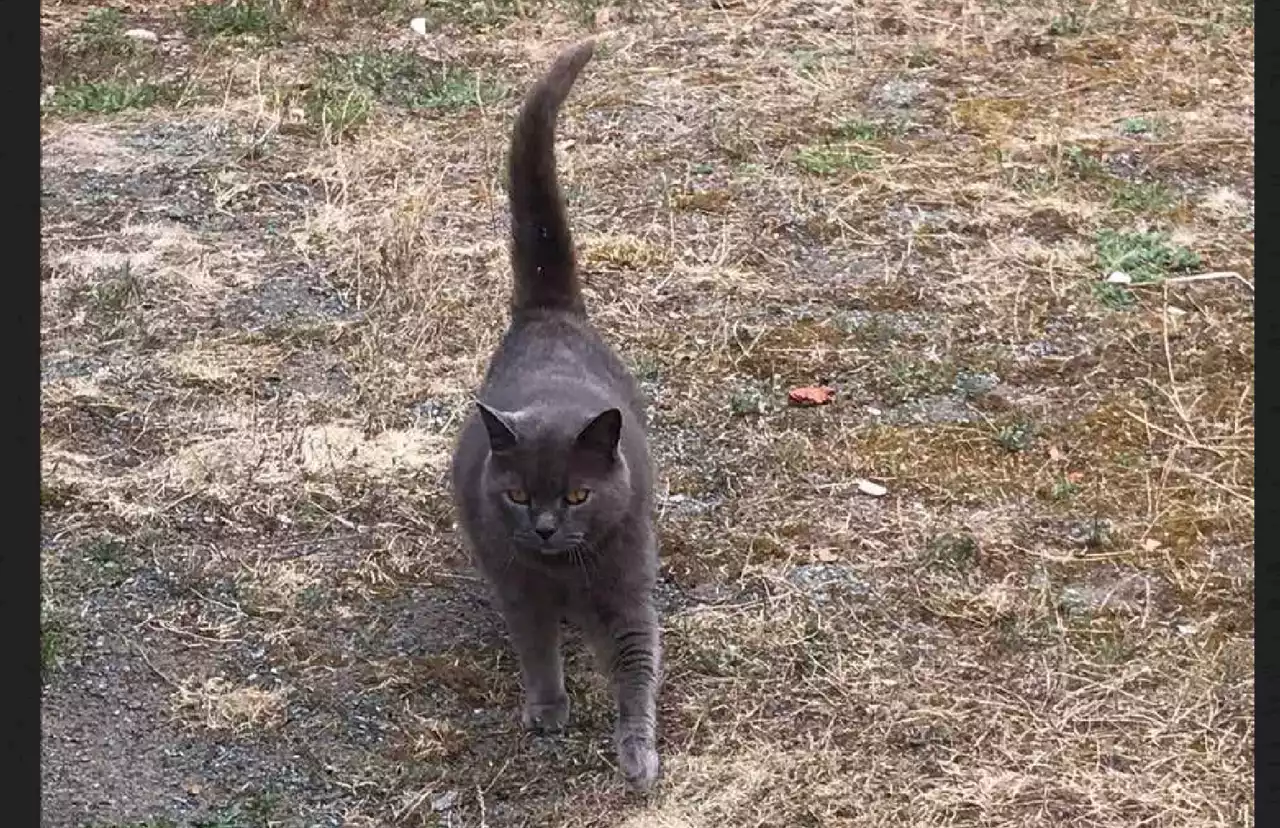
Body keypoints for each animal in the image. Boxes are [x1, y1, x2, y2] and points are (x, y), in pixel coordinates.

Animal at [450, 42, 665, 793]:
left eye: (576, 495)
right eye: (517, 494)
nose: (543, 526)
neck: (565, 571)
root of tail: (546, 316)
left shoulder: (628, 589)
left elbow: (637, 666)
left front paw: (638, 755)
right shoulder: (518, 586)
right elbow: (536, 646)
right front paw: (547, 710)